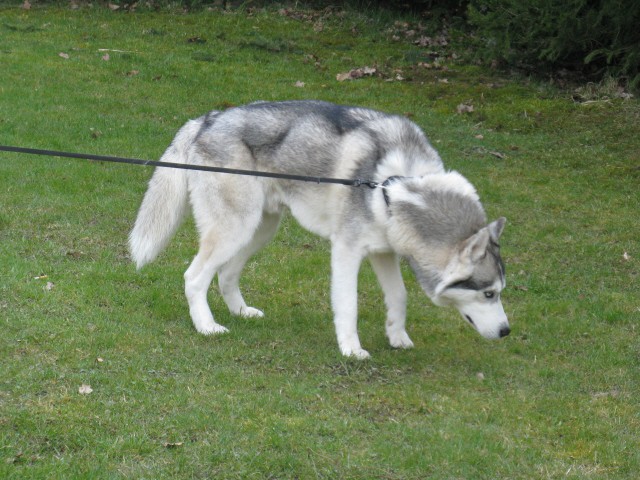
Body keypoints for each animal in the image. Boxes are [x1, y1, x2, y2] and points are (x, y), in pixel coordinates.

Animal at [130, 100, 510, 356]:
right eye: (488, 293)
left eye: (499, 292)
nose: (507, 331)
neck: (395, 186)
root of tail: (207, 119)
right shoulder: (346, 251)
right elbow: (348, 305)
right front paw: (352, 350)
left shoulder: (384, 252)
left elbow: (399, 296)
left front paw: (397, 337)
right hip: (235, 228)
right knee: (194, 277)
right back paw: (206, 326)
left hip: (259, 230)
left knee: (225, 274)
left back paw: (241, 311)